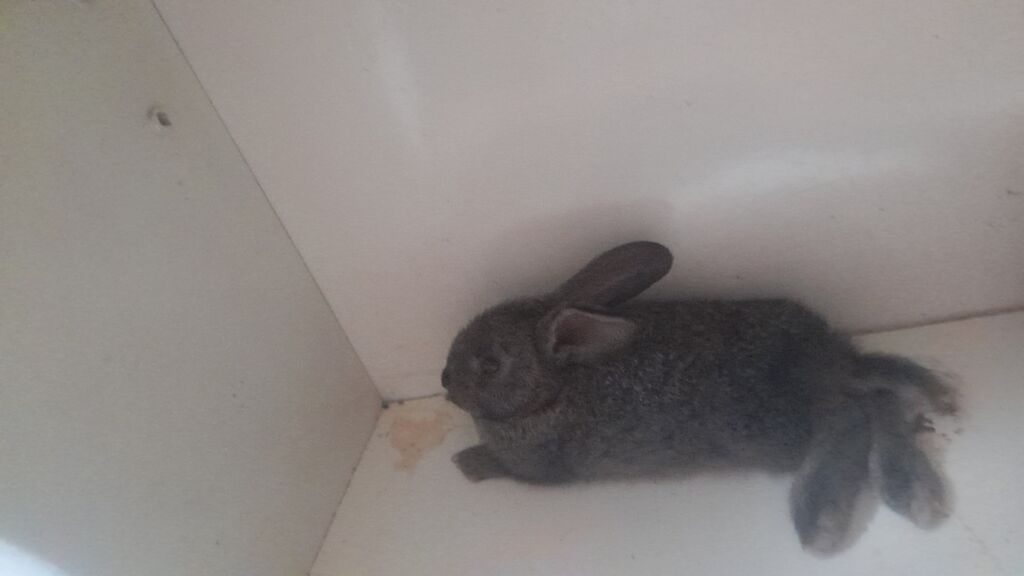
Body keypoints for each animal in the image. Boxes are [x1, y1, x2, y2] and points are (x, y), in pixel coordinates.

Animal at [442, 241, 956, 554]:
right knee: (879, 401)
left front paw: (469, 463)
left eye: (491, 364)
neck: (552, 389)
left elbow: (508, 469)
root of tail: (825, 361)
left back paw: (825, 520)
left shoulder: (540, 468)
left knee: (851, 417)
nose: (445, 382)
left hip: (780, 428)